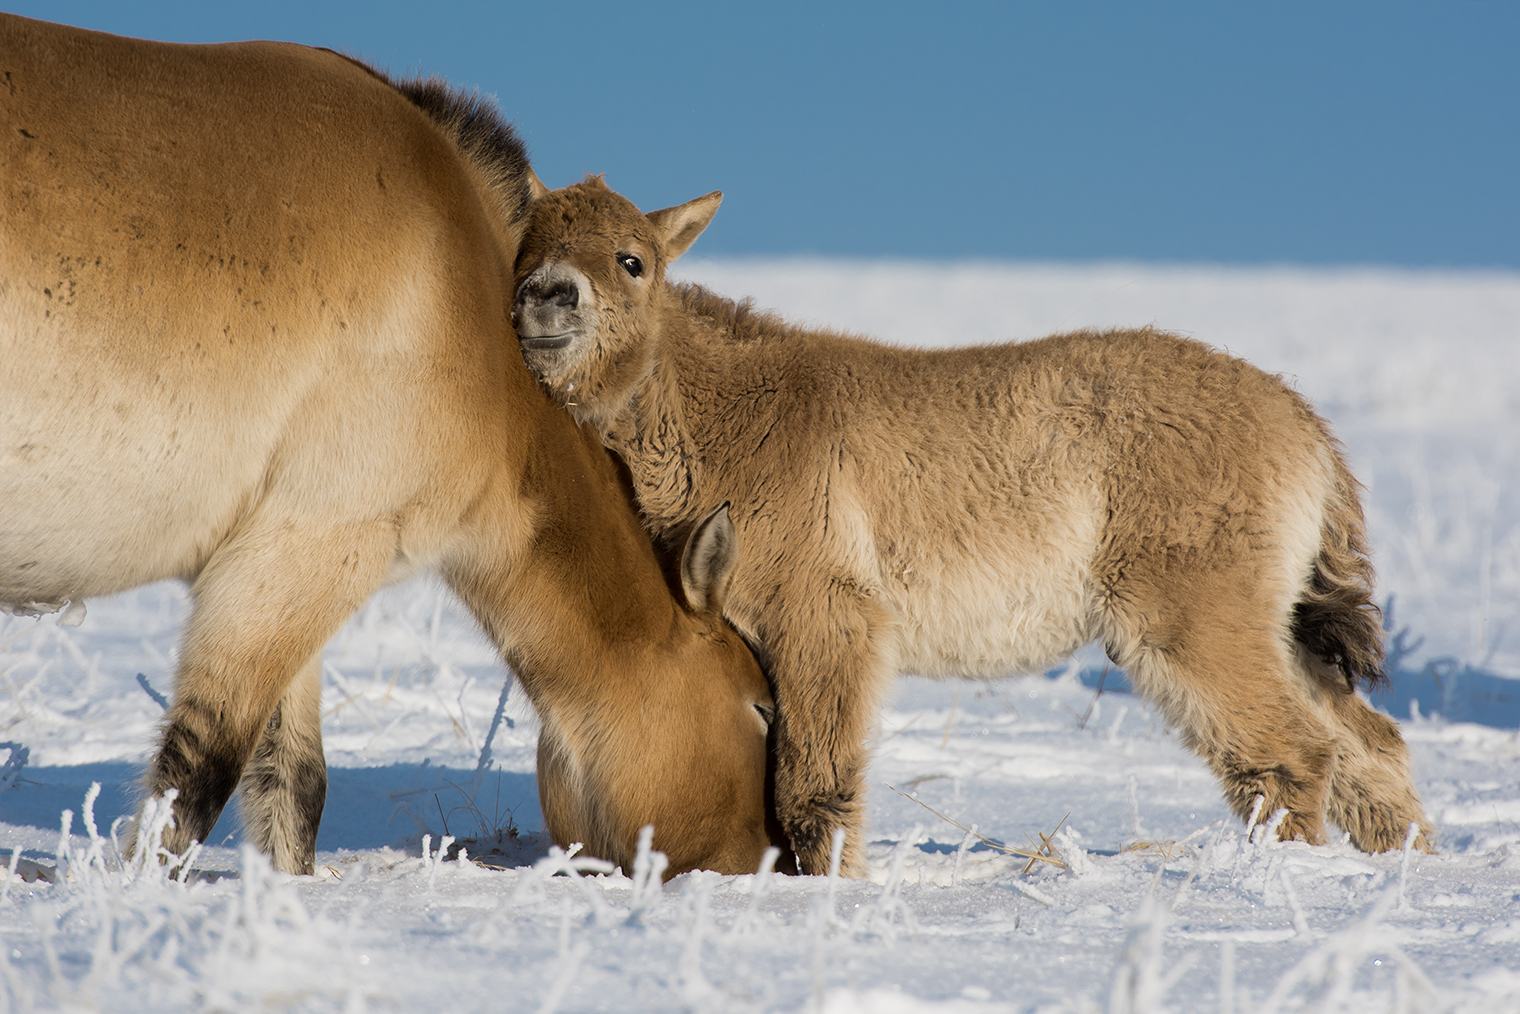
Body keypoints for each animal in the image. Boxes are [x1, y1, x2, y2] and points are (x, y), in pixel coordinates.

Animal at [0, 11, 784, 875]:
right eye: (760, 709)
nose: (774, 864)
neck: (470, 317)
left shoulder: (285, 567)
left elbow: (292, 784)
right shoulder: (308, 547)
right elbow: (193, 784)